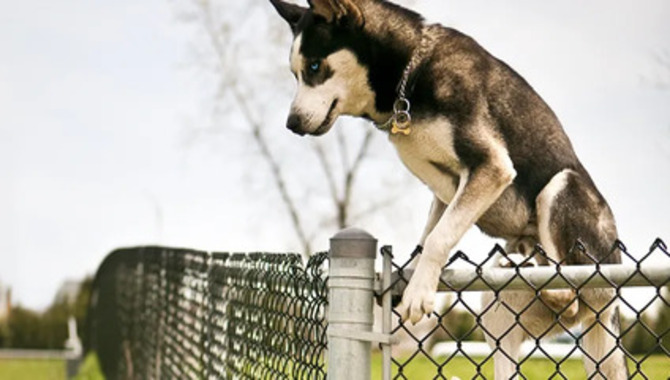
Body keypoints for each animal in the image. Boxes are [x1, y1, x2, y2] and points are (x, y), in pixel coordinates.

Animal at [270, 1, 628, 378]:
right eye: (295, 74)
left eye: (314, 66)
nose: (291, 124)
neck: (410, 75)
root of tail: (609, 308)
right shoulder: (447, 189)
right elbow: (428, 235)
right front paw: (407, 276)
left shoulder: (491, 165)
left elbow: (439, 238)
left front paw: (418, 293)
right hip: (495, 310)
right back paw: (522, 263)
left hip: (562, 188)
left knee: (569, 292)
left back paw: (534, 268)